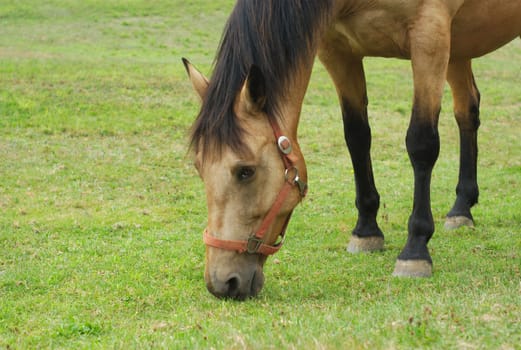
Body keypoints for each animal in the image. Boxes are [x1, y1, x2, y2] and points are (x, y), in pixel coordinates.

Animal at [183, 0, 520, 300]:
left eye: (245, 171)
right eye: (199, 168)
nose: (222, 282)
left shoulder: (430, 37)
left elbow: (422, 143)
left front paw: (415, 249)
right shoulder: (338, 49)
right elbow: (357, 137)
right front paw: (366, 231)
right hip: (459, 47)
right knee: (467, 111)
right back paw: (461, 208)